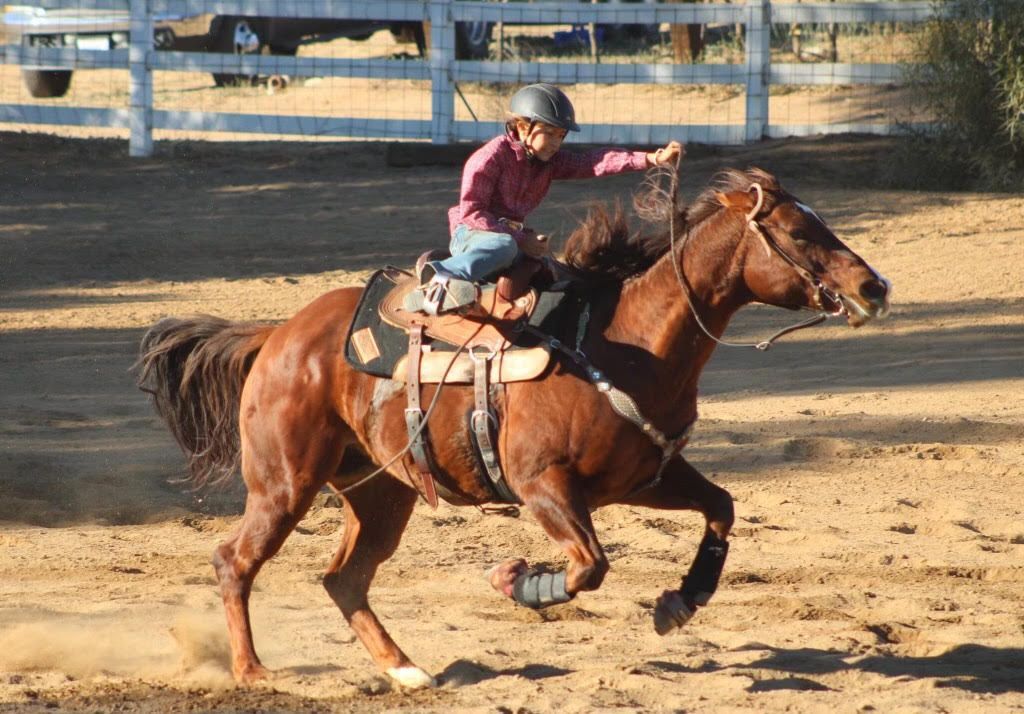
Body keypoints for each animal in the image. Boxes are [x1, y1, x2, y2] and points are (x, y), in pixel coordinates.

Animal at [136, 167, 890, 689]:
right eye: (799, 233)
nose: (874, 287)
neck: (625, 340)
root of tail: (277, 335)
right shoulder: (543, 486)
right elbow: (589, 566)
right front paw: (515, 580)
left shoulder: (645, 477)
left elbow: (721, 509)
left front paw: (680, 601)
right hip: (284, 482)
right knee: (234, 561)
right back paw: (252, 671)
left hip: (380, 491)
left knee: (344, 578)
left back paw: (406, 670)